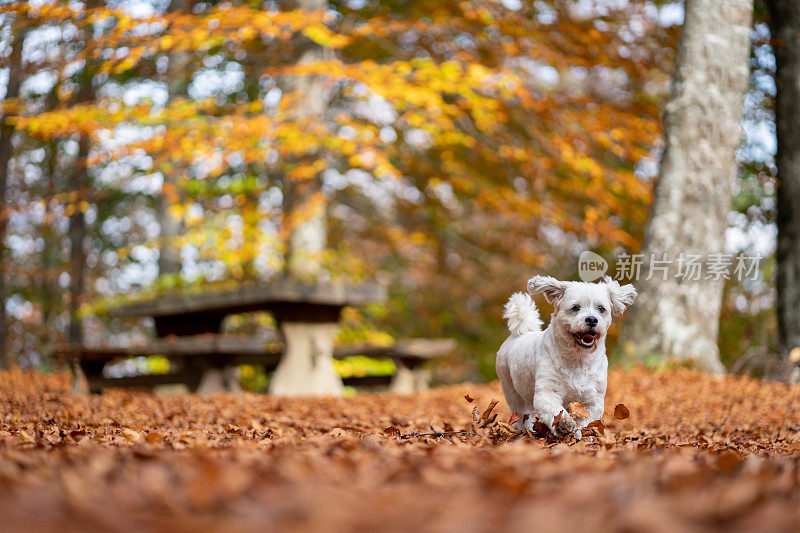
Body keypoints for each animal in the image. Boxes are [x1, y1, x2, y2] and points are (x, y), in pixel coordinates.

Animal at [496, 274, 636, 436]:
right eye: (575, 307)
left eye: (601, 308)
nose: (592, 319)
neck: (578, 359)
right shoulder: (547, 392)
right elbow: (555, 411)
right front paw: (564, 424)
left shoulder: (593, 399)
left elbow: (586, 421)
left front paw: (581, 434)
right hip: (511, 389)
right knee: (520, 412)